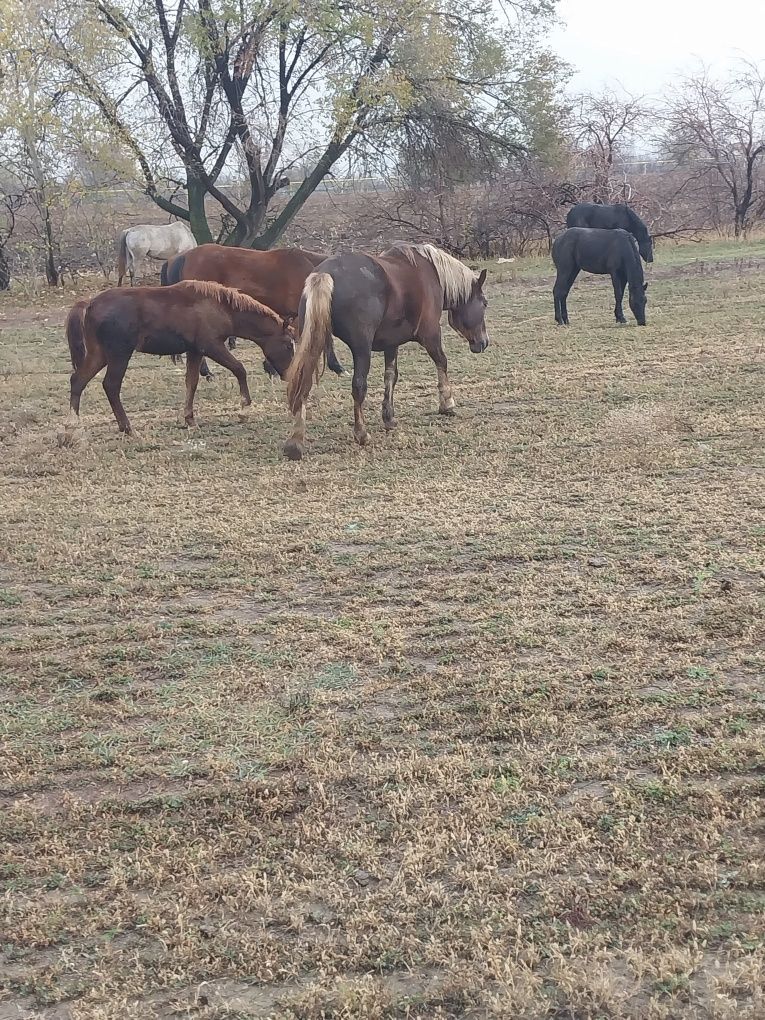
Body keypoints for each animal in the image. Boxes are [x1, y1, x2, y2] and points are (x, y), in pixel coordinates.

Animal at [67, 281, 295, 436]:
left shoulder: (195, 351)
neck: (222, 307)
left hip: (99, 355)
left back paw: (74, 424)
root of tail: (89, 304)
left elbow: (191, 383)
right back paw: (127, 427)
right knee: (111, 385)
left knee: (77, 381)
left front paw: (189, 418)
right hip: (119, 354)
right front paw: (244, 407)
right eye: (288, 344)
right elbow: (239, 369)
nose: (289, 375)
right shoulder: (211, 346)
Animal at [283, 242, 491, 459]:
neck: (431, 273)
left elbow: (390, 376)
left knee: (303, 383)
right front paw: (447, 403)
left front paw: (388, 417)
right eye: (485, 303)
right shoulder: (431, 334)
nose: (484, 342)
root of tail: (325, 274)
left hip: (312, 341)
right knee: (358, 386)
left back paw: (296, 441)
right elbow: (442, 362)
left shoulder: (391, 343)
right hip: (361, 349)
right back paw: (361, 433)